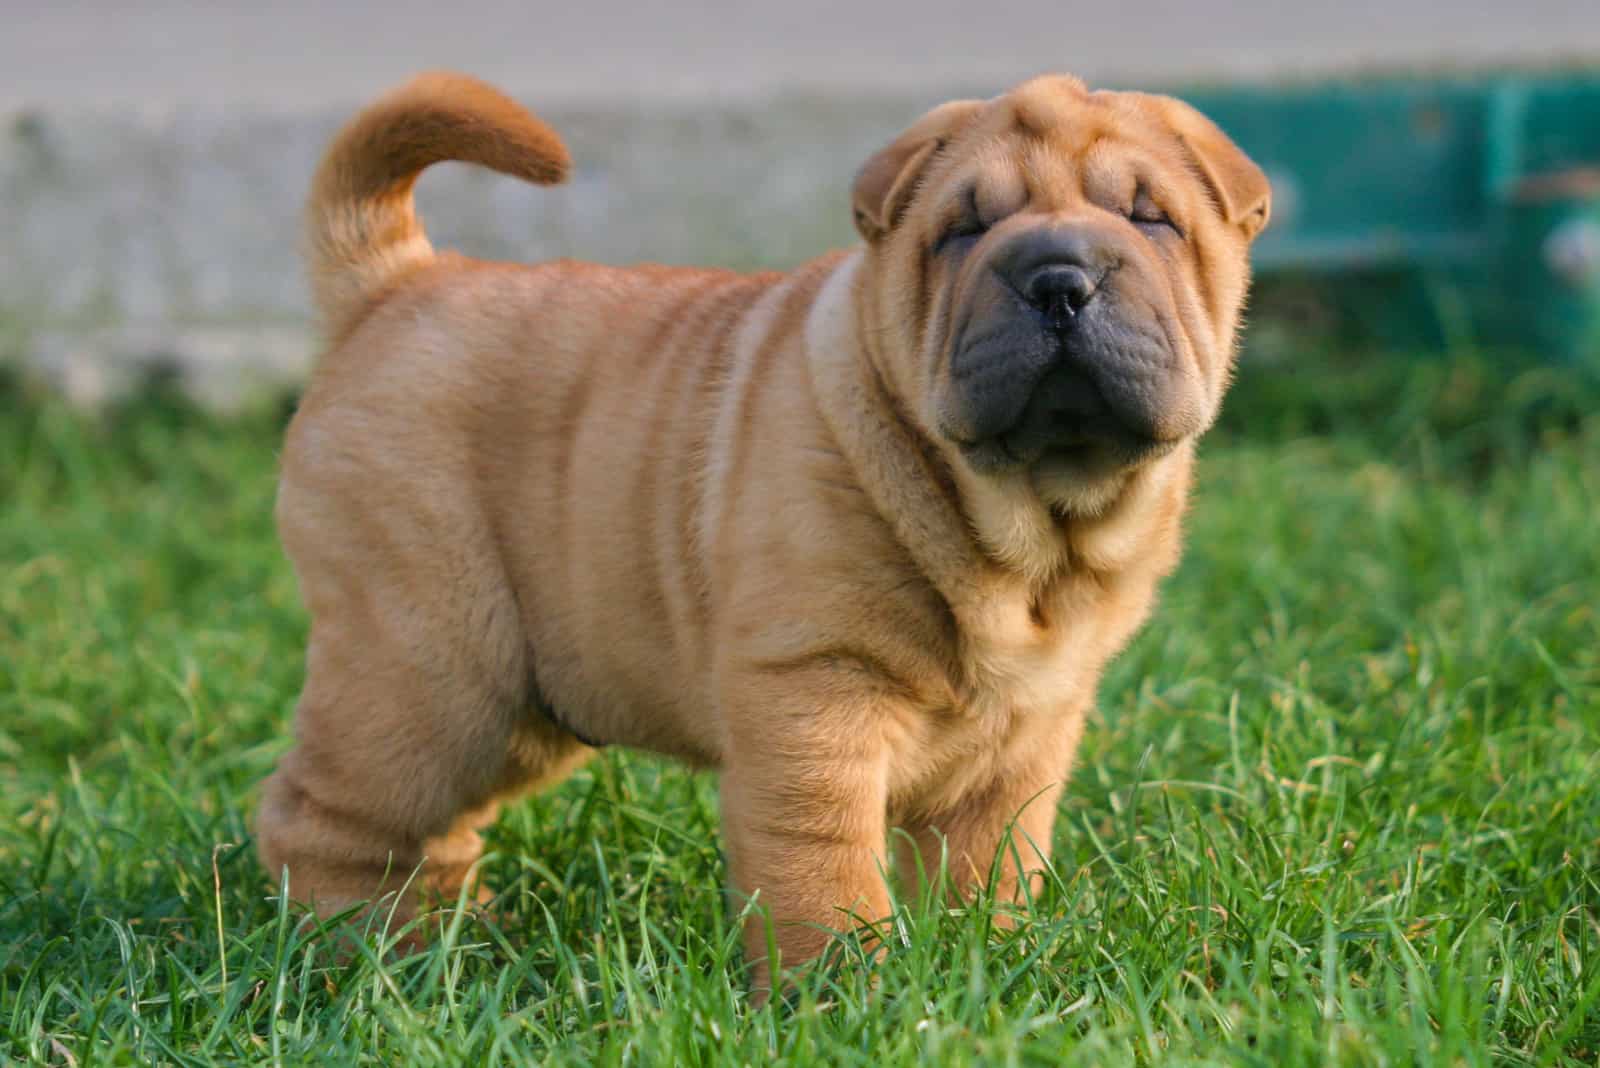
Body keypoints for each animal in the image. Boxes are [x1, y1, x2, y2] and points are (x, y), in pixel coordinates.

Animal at [256, 70, 1267, 991]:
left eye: (1151, 220)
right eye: (964, 232)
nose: (1057, 278)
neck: (1028, 539)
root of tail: (398, 284)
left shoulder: (1027, 730)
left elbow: (993, 864)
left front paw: (990, 964)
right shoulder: (812, 686)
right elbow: (822, 861)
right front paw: (848, 993)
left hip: (525, 701)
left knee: (437, 831)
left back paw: (457, 936)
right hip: (432, 669)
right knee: (325, 814)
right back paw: (371, 959)